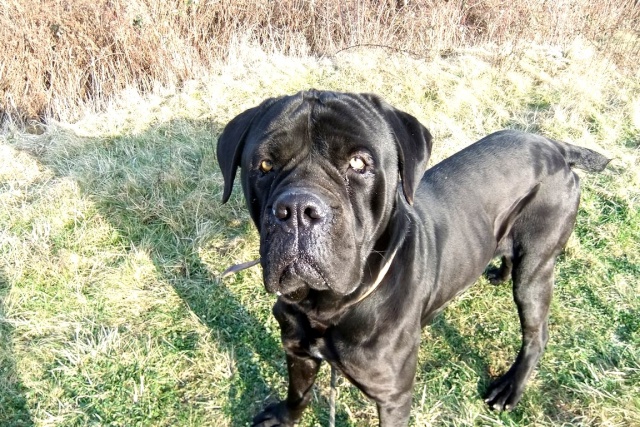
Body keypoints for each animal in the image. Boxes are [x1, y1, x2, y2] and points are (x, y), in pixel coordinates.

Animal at [219, 89, 608, 424]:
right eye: (265, 165)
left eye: (359, 163)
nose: (298, 210)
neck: (324, 307)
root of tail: (555, 146)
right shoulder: (297, 351)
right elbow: (297, 393)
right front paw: (284, 417)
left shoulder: (392, 395)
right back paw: (499, 270)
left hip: (536, 269)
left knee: (536, 333)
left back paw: (510, 388)